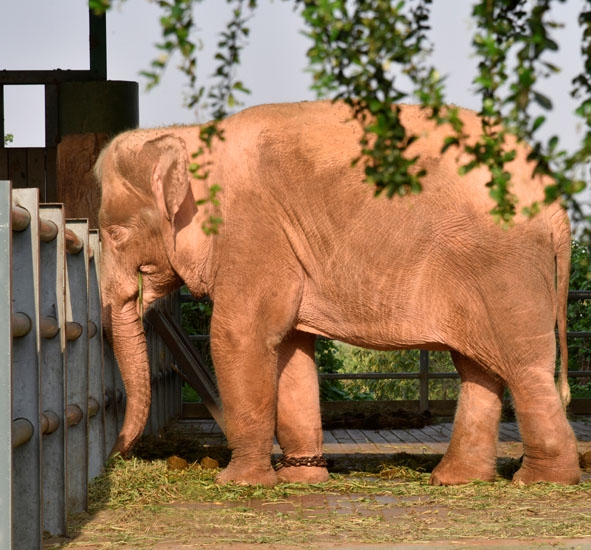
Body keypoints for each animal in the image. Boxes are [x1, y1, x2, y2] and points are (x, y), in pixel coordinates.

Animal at [95, 99, 580, 488]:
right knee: (479, 368)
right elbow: (291, 349)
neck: (187, 135)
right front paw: (301, 480)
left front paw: (239, 484)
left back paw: (540, 482)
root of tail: (554, 199)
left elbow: (239, 335)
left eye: (115, 234)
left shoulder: (252, 231)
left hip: (502, 266)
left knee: (522, 367)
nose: (116, 454)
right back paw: (454, 480)